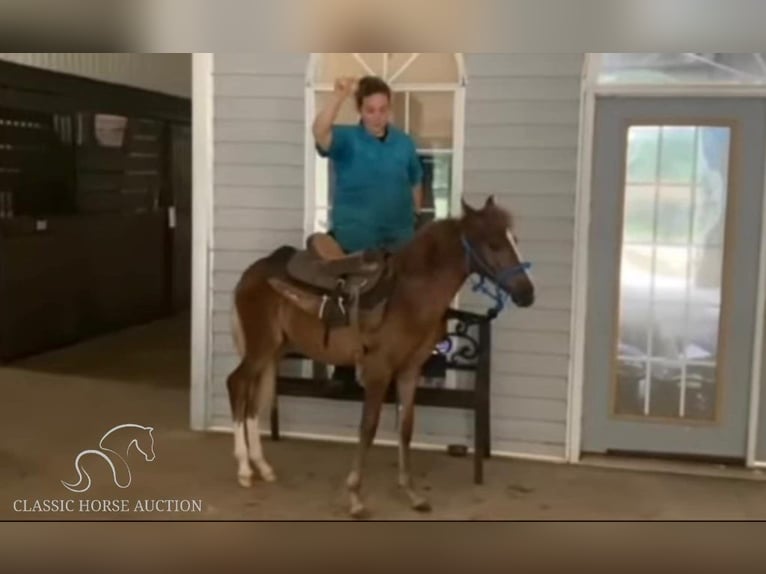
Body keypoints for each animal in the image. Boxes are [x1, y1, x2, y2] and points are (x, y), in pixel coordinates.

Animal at [226, 196, 536, 520]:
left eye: (514, 240)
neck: (409, 295)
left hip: (273, 351)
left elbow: (406, 428)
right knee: (237, 384)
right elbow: (368, 428)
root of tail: (251, 274)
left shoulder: (409, 370)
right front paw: (355, 497)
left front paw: (412, 494)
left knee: (253, 401)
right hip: (260, 347)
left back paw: (262, 467)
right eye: (494, 244)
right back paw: (244, 469)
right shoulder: (379, 370)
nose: (528, 293)